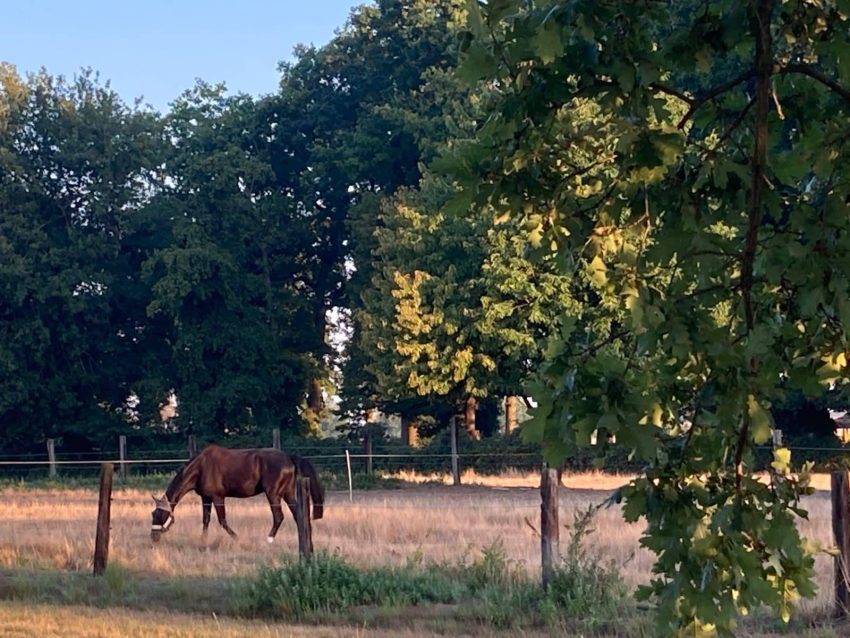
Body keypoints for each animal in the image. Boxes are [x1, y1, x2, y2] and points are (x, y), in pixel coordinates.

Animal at [150, 444, 324, 544]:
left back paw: (269, 539)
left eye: (158, 515)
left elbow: (222, 521)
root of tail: (289, 457)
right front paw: (202, 542)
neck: (201, 467)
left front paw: (236, 538)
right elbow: (206, 520)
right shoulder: (206, 498)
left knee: (279, 517)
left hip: (273, 495)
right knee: (298, 515)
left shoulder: (218, 497)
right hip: (288, 494)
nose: (153, 537)